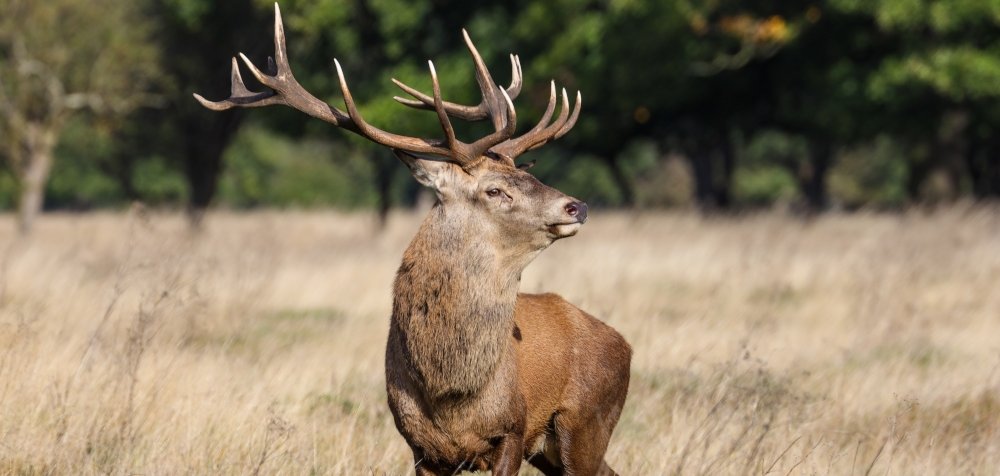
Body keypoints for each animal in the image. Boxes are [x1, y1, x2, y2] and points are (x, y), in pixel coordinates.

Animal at [195, 4, 631, 475]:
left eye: (528, 176)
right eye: (495, 190)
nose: (577, 206)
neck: (450, 394)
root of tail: (624, 344)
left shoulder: (513, 428)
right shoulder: (419, 444)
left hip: (583, 423)